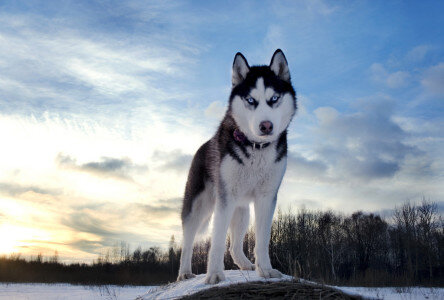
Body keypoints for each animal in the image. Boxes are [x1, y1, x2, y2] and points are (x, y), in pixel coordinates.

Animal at [179, 48, 296, 284]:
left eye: (274, 98)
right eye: (251, 100)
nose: (266, 126)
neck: (256, 148)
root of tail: (202, 147)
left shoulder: (266, 198)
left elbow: (262, 239)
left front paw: (265, 270)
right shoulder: (225, 199)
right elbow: (216, 241)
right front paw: (214, 274)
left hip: (241, 211)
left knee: (233, 246)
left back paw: (245, 264)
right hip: (198, 207)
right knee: (187, 241)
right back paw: (184, 272)